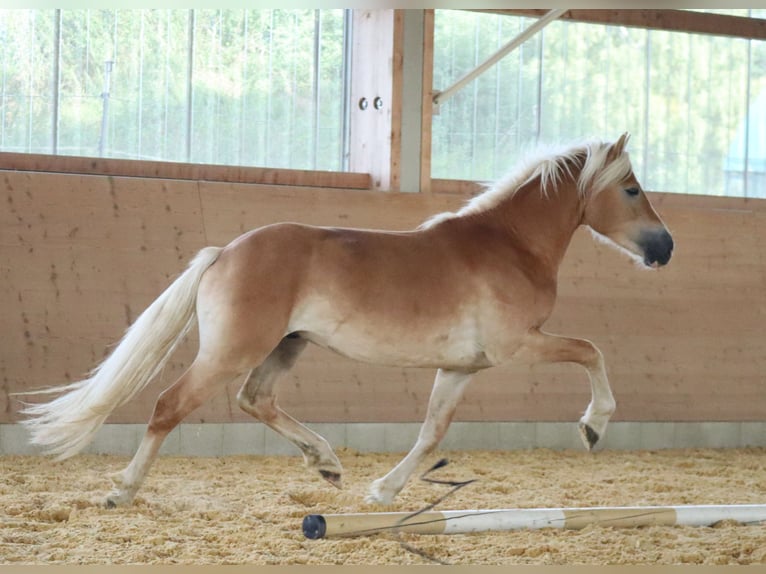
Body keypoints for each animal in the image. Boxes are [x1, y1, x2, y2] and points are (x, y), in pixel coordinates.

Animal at [21, 133, 673, 507]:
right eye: (632, 189)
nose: (664, 248)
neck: (509, 244)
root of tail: (225, 252)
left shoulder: (462, 368)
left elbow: (432, 433)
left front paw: (383, 490)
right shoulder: (519, 347)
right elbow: (591, 351)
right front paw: (593, 426)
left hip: (286, 346)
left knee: (256, 400)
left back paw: (327, 463)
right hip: (233, 350)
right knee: (168, 406)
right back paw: (123, 491)